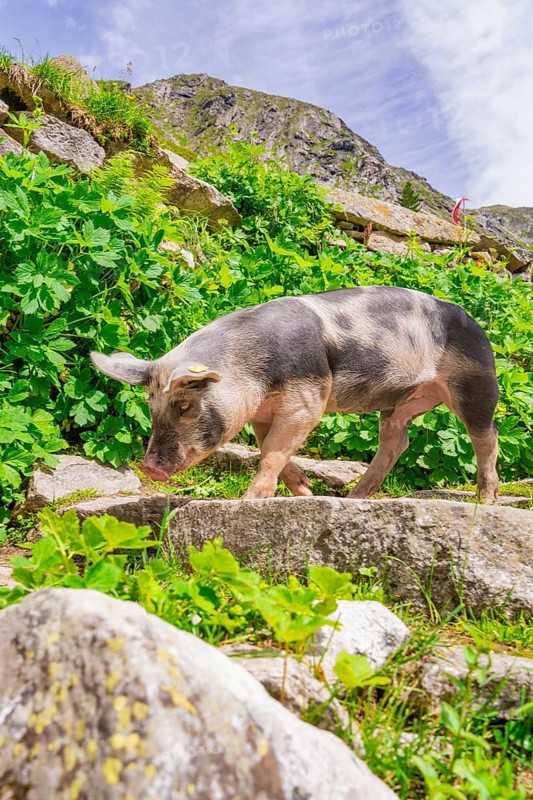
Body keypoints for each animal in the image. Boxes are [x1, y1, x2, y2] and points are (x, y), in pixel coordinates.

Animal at [90, 285, 499, 502]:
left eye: (185, 405)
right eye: (152, 406)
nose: (149, 467)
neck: (249, 368)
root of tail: (476, 323)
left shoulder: (308, 398)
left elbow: (273, 452)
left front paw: (250, 501)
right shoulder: (260, 413)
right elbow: (270, 450)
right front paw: (306, 493)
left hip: (476, 383)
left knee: (487, 436)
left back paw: (486, 499)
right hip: (402, 402)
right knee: (397, 440)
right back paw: (354, 498)